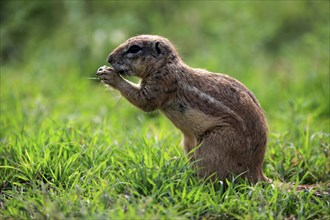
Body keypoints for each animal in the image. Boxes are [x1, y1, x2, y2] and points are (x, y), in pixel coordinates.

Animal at [96, 34, 270, 182]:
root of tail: (256, 171)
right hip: (188, 145)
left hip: (212, 145)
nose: (109, 58)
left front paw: (111, 76)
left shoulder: (162, 82)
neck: (165, 65)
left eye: (134, 48)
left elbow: (145, 102)